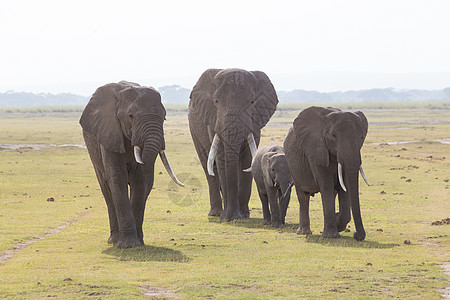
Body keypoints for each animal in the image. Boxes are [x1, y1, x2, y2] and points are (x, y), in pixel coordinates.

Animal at [79, 80, 183, 248]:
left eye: (164, 118)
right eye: (130, 116)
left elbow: (140, 181)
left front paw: (137, 244)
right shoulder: (109, 133)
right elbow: (117, 179)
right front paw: (128, 245)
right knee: (106, 188)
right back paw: (114, 240)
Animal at [188, 69, 280, 221]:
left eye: (252, 102)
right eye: (216, 101)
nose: (230, 218)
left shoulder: (255, 121)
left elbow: (247, 160)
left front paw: (242, 215)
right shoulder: (213, 119)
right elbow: (221, 160)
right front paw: (228, 217)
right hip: (194, 131)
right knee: (208, 167)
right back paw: (216, 213)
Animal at [284, 106, 370, 241]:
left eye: (362, 137)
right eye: (333, 135)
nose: (356, 235)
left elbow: (344, 186)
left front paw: (337, 221)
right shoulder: (316, 150)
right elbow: (326, 185)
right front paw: (331, 236)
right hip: (293, 166)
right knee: (303, 196)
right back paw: (304, 232)